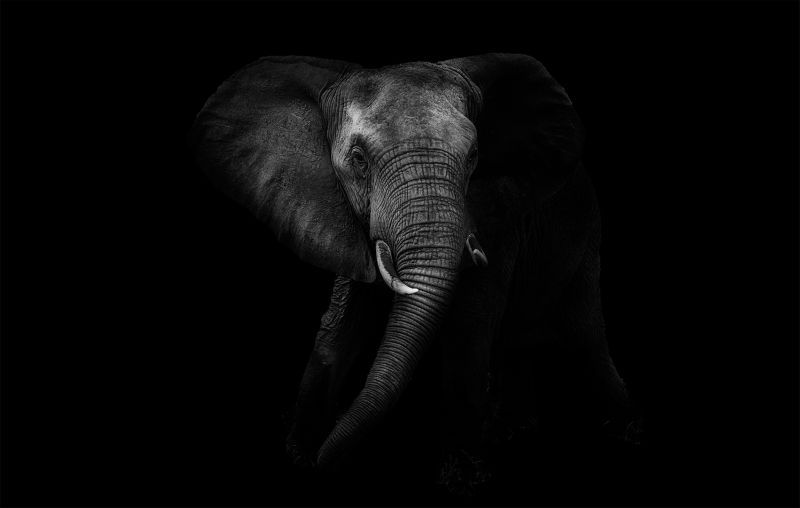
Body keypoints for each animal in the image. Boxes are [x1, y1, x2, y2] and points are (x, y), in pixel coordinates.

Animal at [191, 53, 639, 494]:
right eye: (358, 160)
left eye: (473, 156)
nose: (326, 463)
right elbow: (343, 320)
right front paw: (301, 453)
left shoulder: (494, 213)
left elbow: (470, 323)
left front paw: (463, 480)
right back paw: (513, 430)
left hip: (585, 235)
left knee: (584, 333)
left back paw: (621, 430)